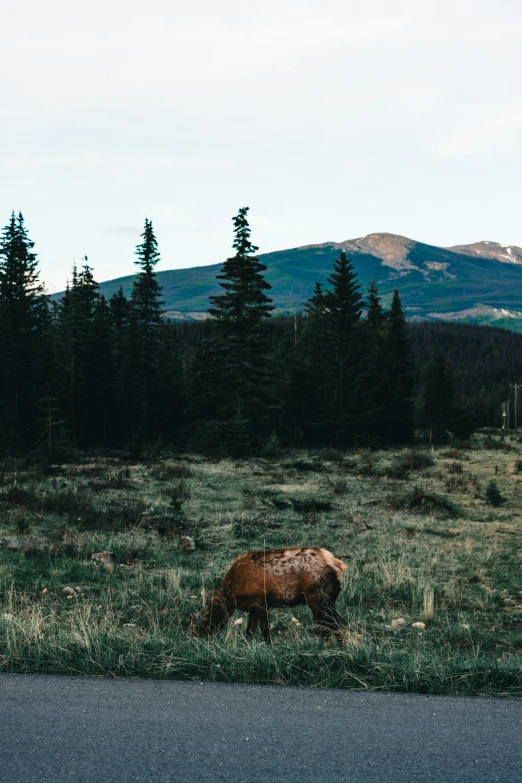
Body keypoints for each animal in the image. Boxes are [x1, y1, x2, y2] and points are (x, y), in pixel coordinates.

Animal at [191, 544, 346, 644]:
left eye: (199, 631)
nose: (196, 645)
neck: (233, 597)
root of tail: (338, 564)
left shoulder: (261, 598)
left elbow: (265, 629)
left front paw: (269, 646)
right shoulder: (252, 607)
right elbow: (249, 632)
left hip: (318, 598)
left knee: (337, 626)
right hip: (328, 600)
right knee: (334, 626)